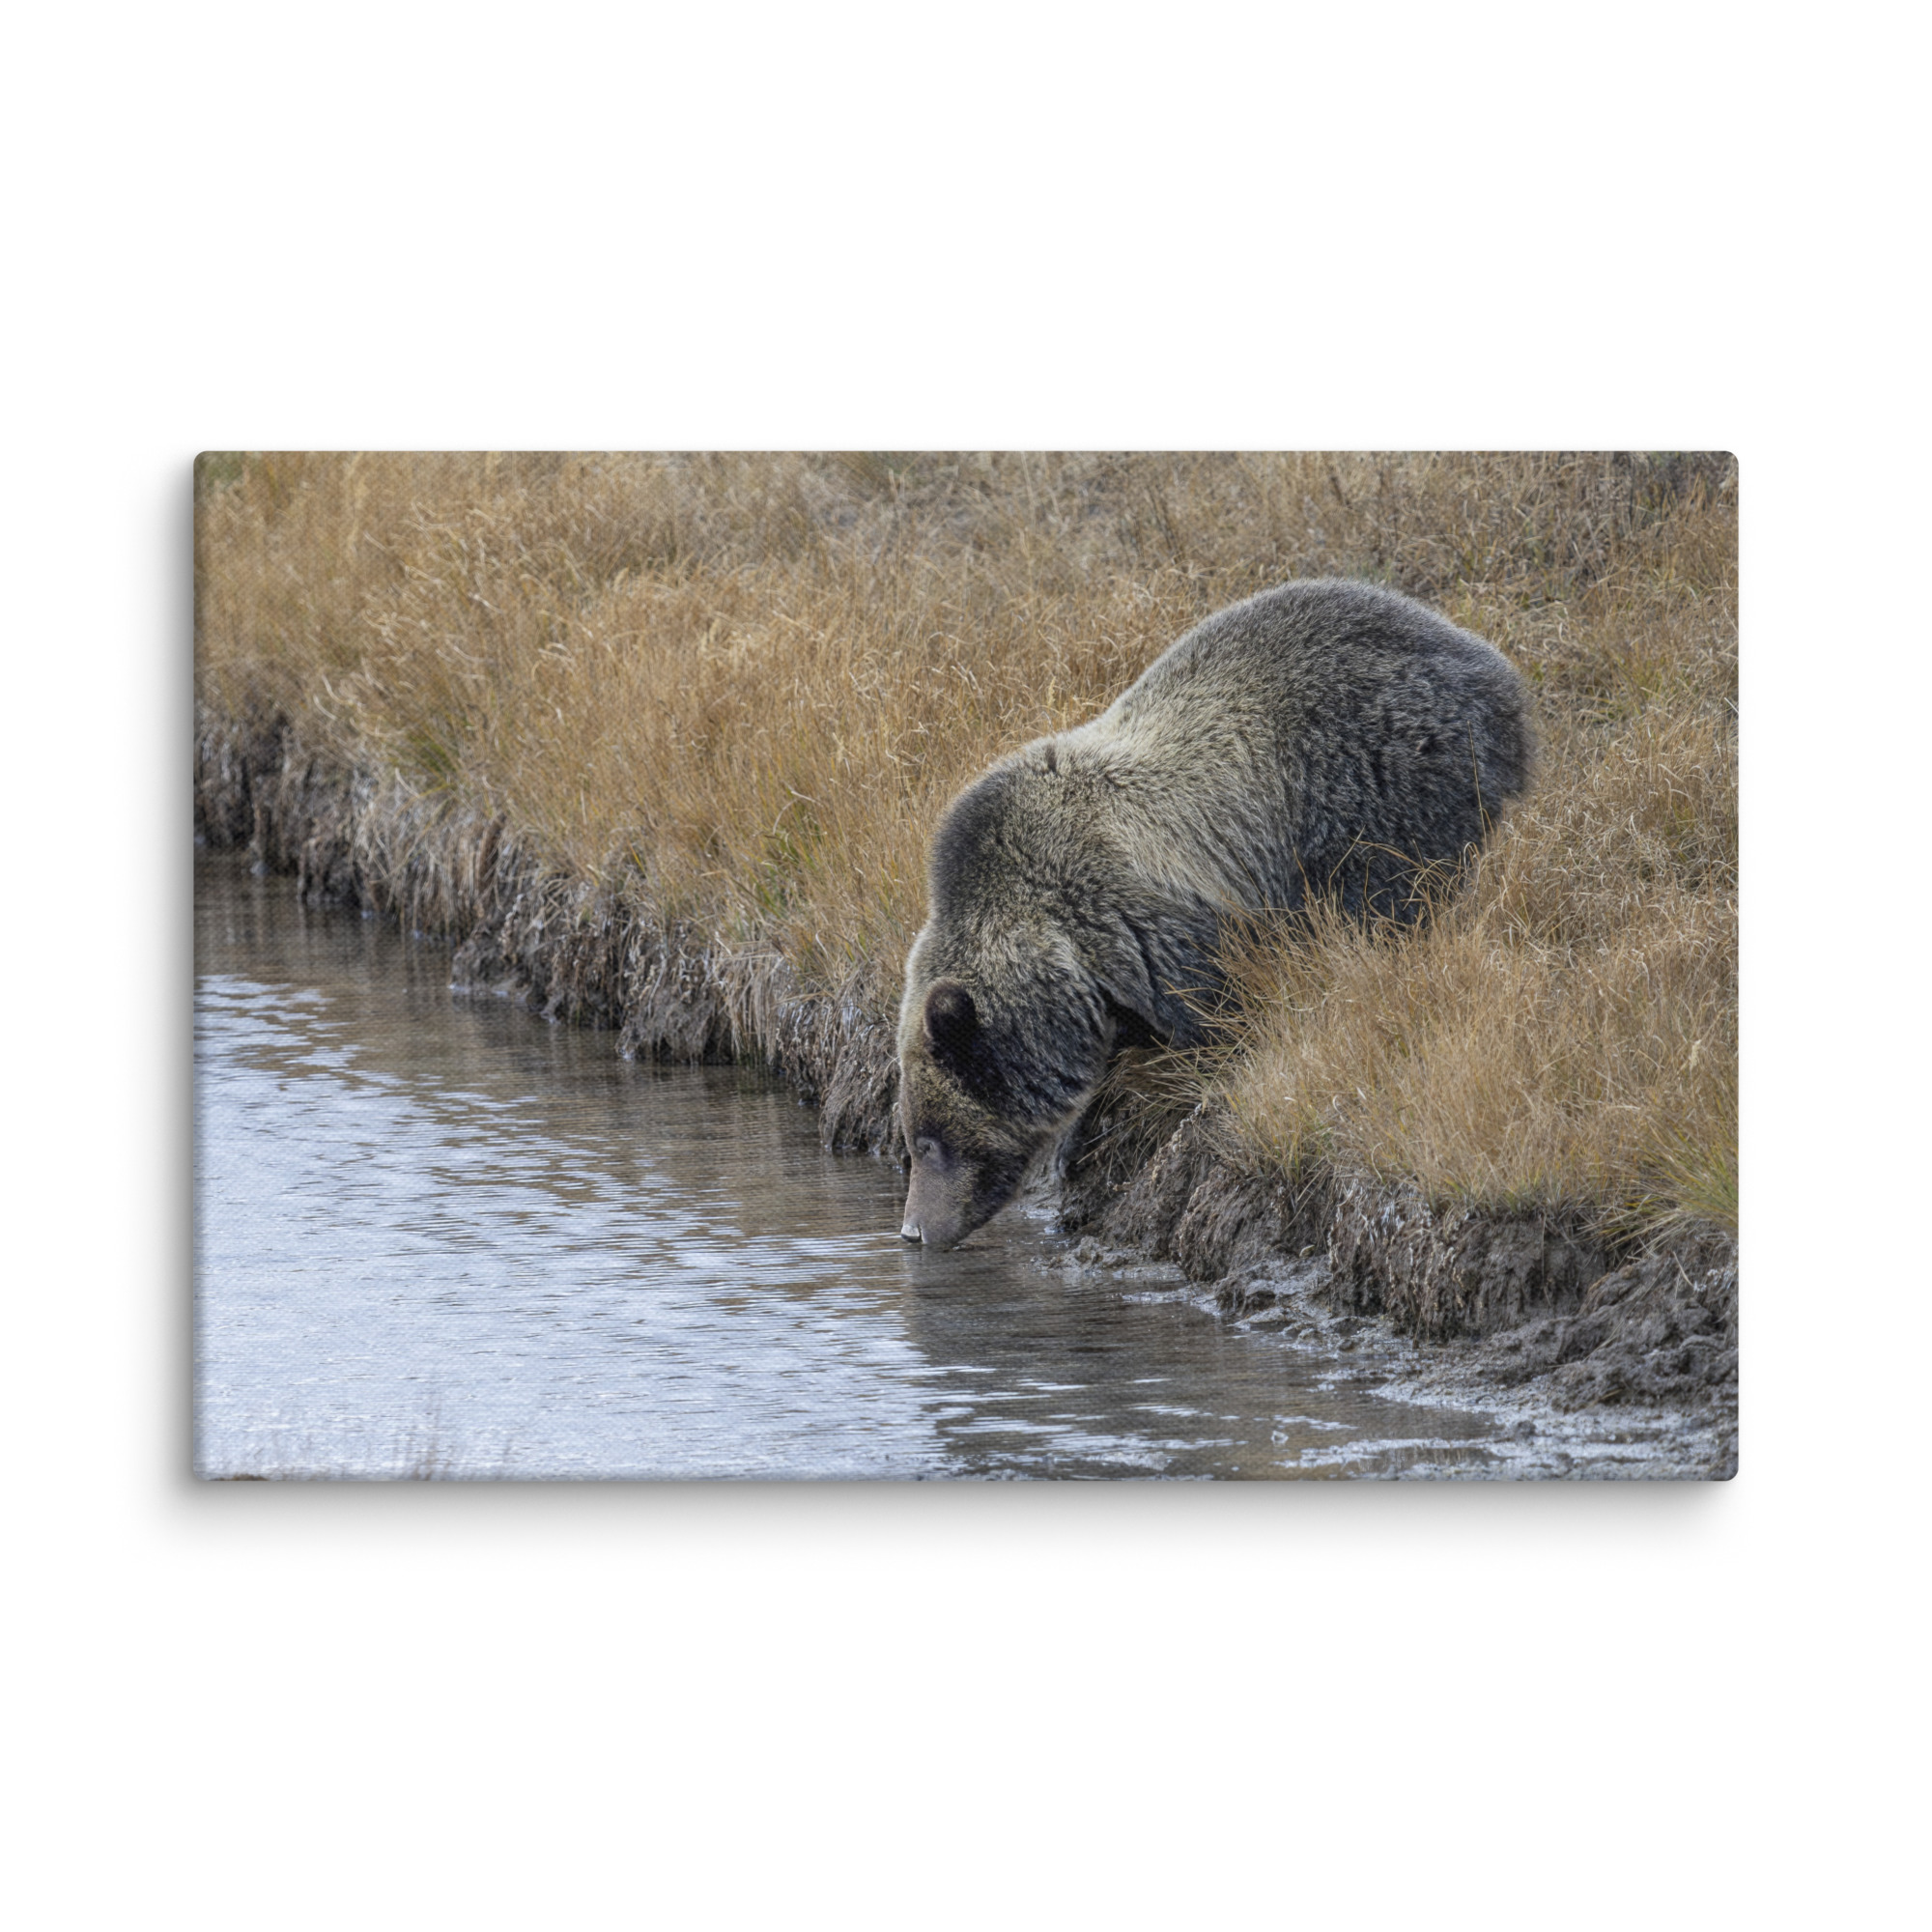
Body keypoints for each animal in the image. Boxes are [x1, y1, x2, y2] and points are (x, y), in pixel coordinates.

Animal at [895, 577, 1531, 1249]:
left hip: (1377, 779)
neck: (1066, 955)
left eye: (929, 1141)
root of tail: (1490, 664)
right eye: (912, 1139)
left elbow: (1214, 1016)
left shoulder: (1149, 925)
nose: (913, 1230)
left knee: (1388, 897)